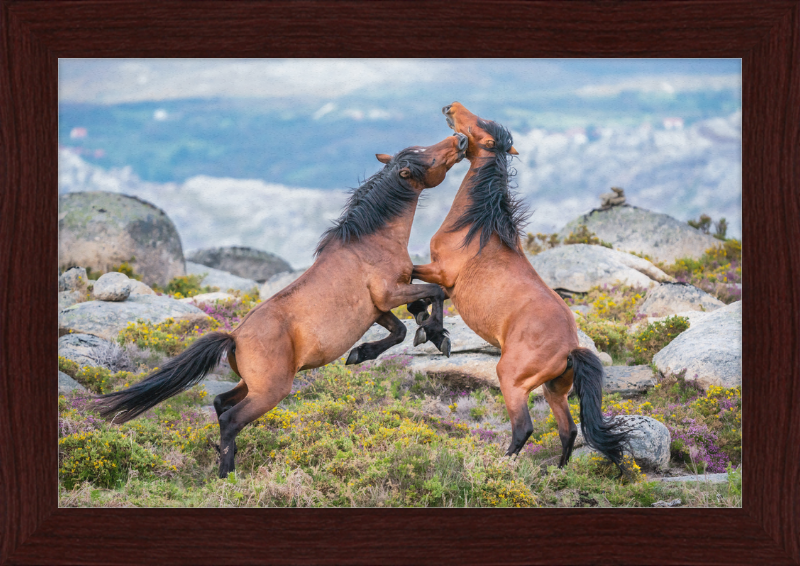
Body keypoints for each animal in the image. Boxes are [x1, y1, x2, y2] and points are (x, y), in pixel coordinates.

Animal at [96, 133, 466, 480]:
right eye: (427, 157)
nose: (460, 140)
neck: (371, 242)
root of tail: (234, 337)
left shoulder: (378, 308)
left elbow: (402, 327)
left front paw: (364, 352)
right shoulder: (389, 294)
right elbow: (436, 293)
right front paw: (437, 335)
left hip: (251, 385)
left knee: (219, 403)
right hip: (270, 391)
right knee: (230, 419)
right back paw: (227, 475)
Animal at [412, 104, 632, 472]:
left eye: (479, 127)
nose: (451, 108)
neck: (477, 228)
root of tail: (570, 349)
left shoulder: (440, 271)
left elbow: (417, 283)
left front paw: (428, 330)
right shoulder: (446, 282)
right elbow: (434, 295)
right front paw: (434, 334)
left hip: (512, 380)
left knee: (524, 427)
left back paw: (498, 466)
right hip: (555, 391)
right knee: (569, 430)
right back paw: (557, 473)